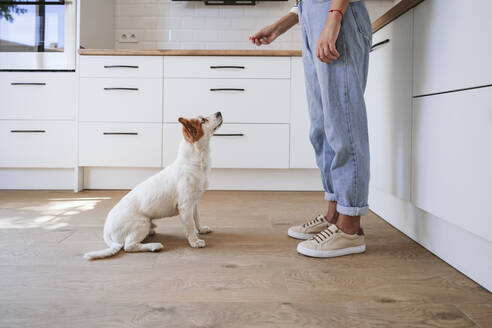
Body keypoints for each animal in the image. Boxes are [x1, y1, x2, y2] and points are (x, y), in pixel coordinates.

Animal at [84, 111, 223, 260]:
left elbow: (196, 218)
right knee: (129, 246)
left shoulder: (194, 202)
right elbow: (190, 225)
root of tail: (107, 233)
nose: (219, 112)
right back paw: (155, 246)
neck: (194, 162)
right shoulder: (185, 206)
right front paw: (195, 242)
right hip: (142, 222)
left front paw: (201, 230)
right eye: (203, 120)